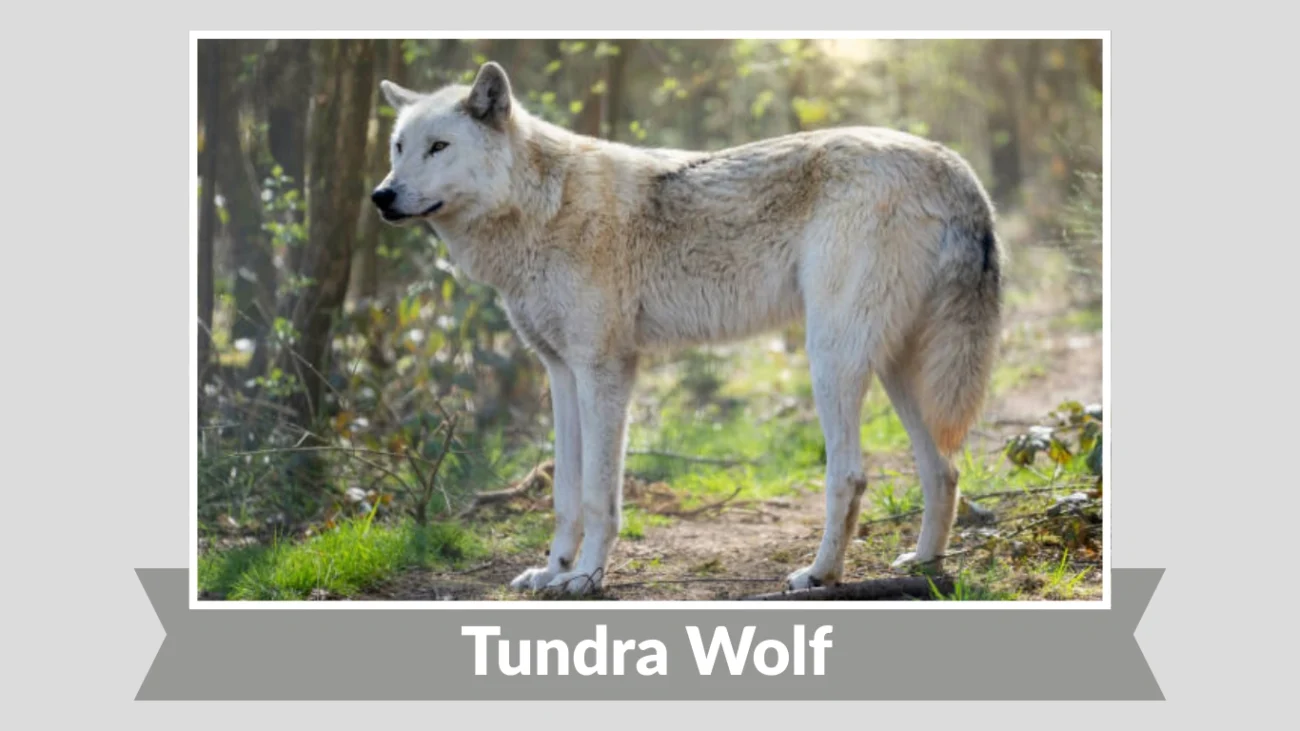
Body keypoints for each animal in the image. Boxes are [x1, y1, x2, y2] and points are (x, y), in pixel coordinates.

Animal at [371, 62, 1003, 595]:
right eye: (399, 147)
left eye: (439, 147)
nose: (381, 196)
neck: (541, 207)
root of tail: (954, 166)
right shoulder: (560, 373)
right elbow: (566, 494)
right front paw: (552, 572)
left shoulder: (605, 372)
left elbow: (599, 496)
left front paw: (586, 578)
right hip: (896, 370)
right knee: (943, 469)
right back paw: (924, 566)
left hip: (831, 360)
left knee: (850, 475)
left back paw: (820, 575)